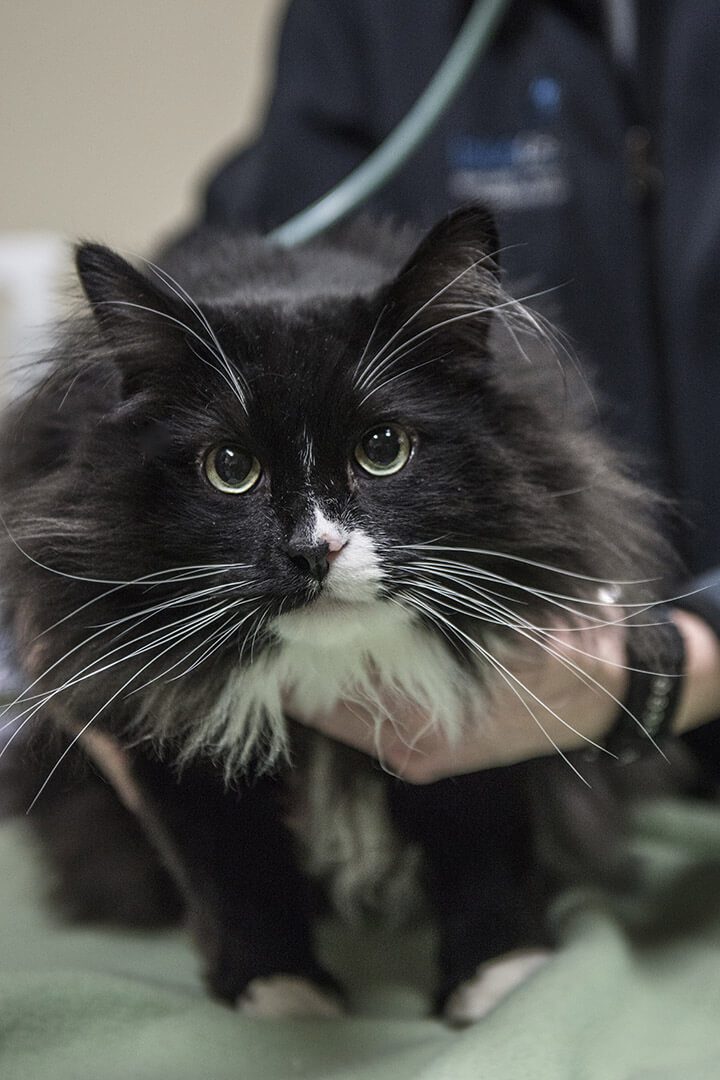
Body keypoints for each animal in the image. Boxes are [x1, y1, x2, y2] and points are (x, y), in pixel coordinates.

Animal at [0, 208, 673, 1019]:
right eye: (230, 469)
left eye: (383, 449)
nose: (313, 551)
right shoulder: (154, 714)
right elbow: (234, 871)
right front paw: (281, 991)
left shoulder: (479, 701)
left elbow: (483, 835)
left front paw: (498, 975)